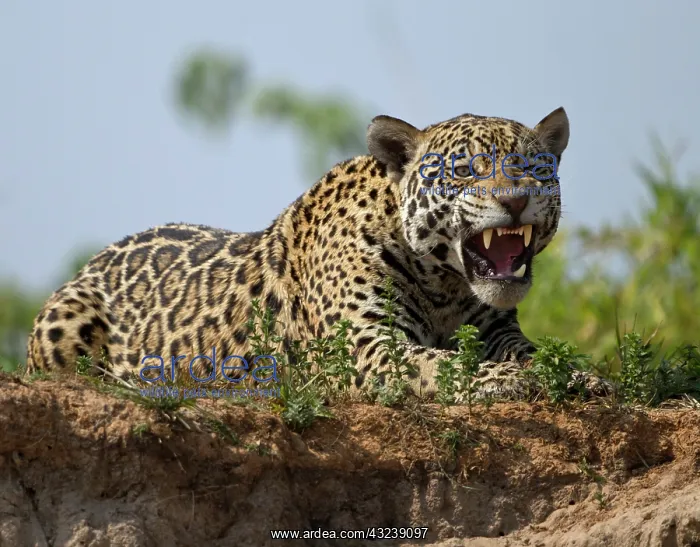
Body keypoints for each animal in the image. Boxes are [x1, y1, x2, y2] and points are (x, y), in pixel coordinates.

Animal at [25, 106, 608, 400]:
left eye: (535, 169)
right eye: (465, 171)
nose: (515, 199)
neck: (445, 285)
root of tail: (102, 254)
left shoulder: (499, 331)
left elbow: (533, 354)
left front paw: (582, 376)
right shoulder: (368, 349)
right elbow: (449, 366)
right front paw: (517, 381)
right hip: (63, 320)